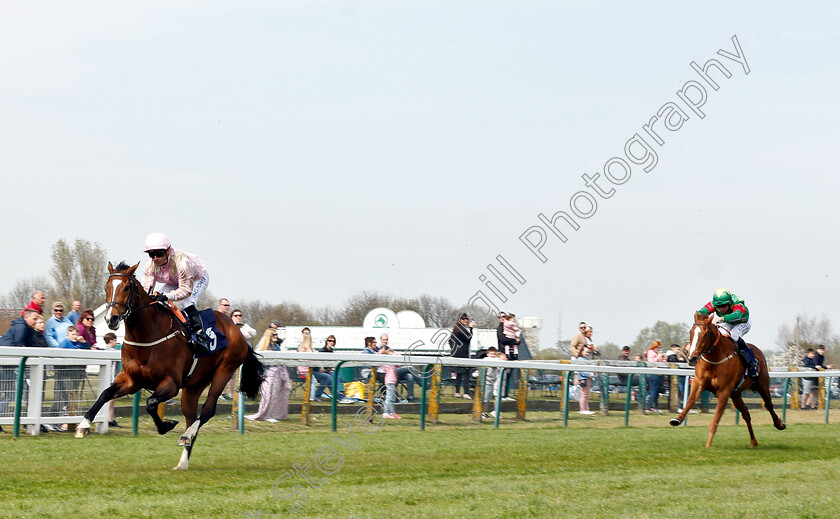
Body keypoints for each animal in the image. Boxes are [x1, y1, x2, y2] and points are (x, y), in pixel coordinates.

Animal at [78, 262, 266, 470]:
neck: (146, 335)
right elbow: (105, 394)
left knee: (208, 410)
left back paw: (186, 435)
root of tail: (237, 330)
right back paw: (183, 461)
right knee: (191, 416)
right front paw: (83, 426)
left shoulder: (171, 383)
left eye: (126, 288)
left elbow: (151, 403)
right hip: (194, 385)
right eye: (106, 288)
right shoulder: (131, 380)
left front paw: (166, 425)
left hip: (224, 371)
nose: (111, 319)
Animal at [668, 310, 784, 448]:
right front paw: (677, 419)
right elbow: (690, 401)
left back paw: (779, 424)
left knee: (769, 405)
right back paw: (753, 441)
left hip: (762, 385)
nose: (692, 358)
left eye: (706, 334)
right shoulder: (698, 383)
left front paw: (708, 445)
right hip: (736, 394)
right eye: (691, 332)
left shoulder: (724, 391)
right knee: (746, 413)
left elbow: (715, 420)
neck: (714, 359)